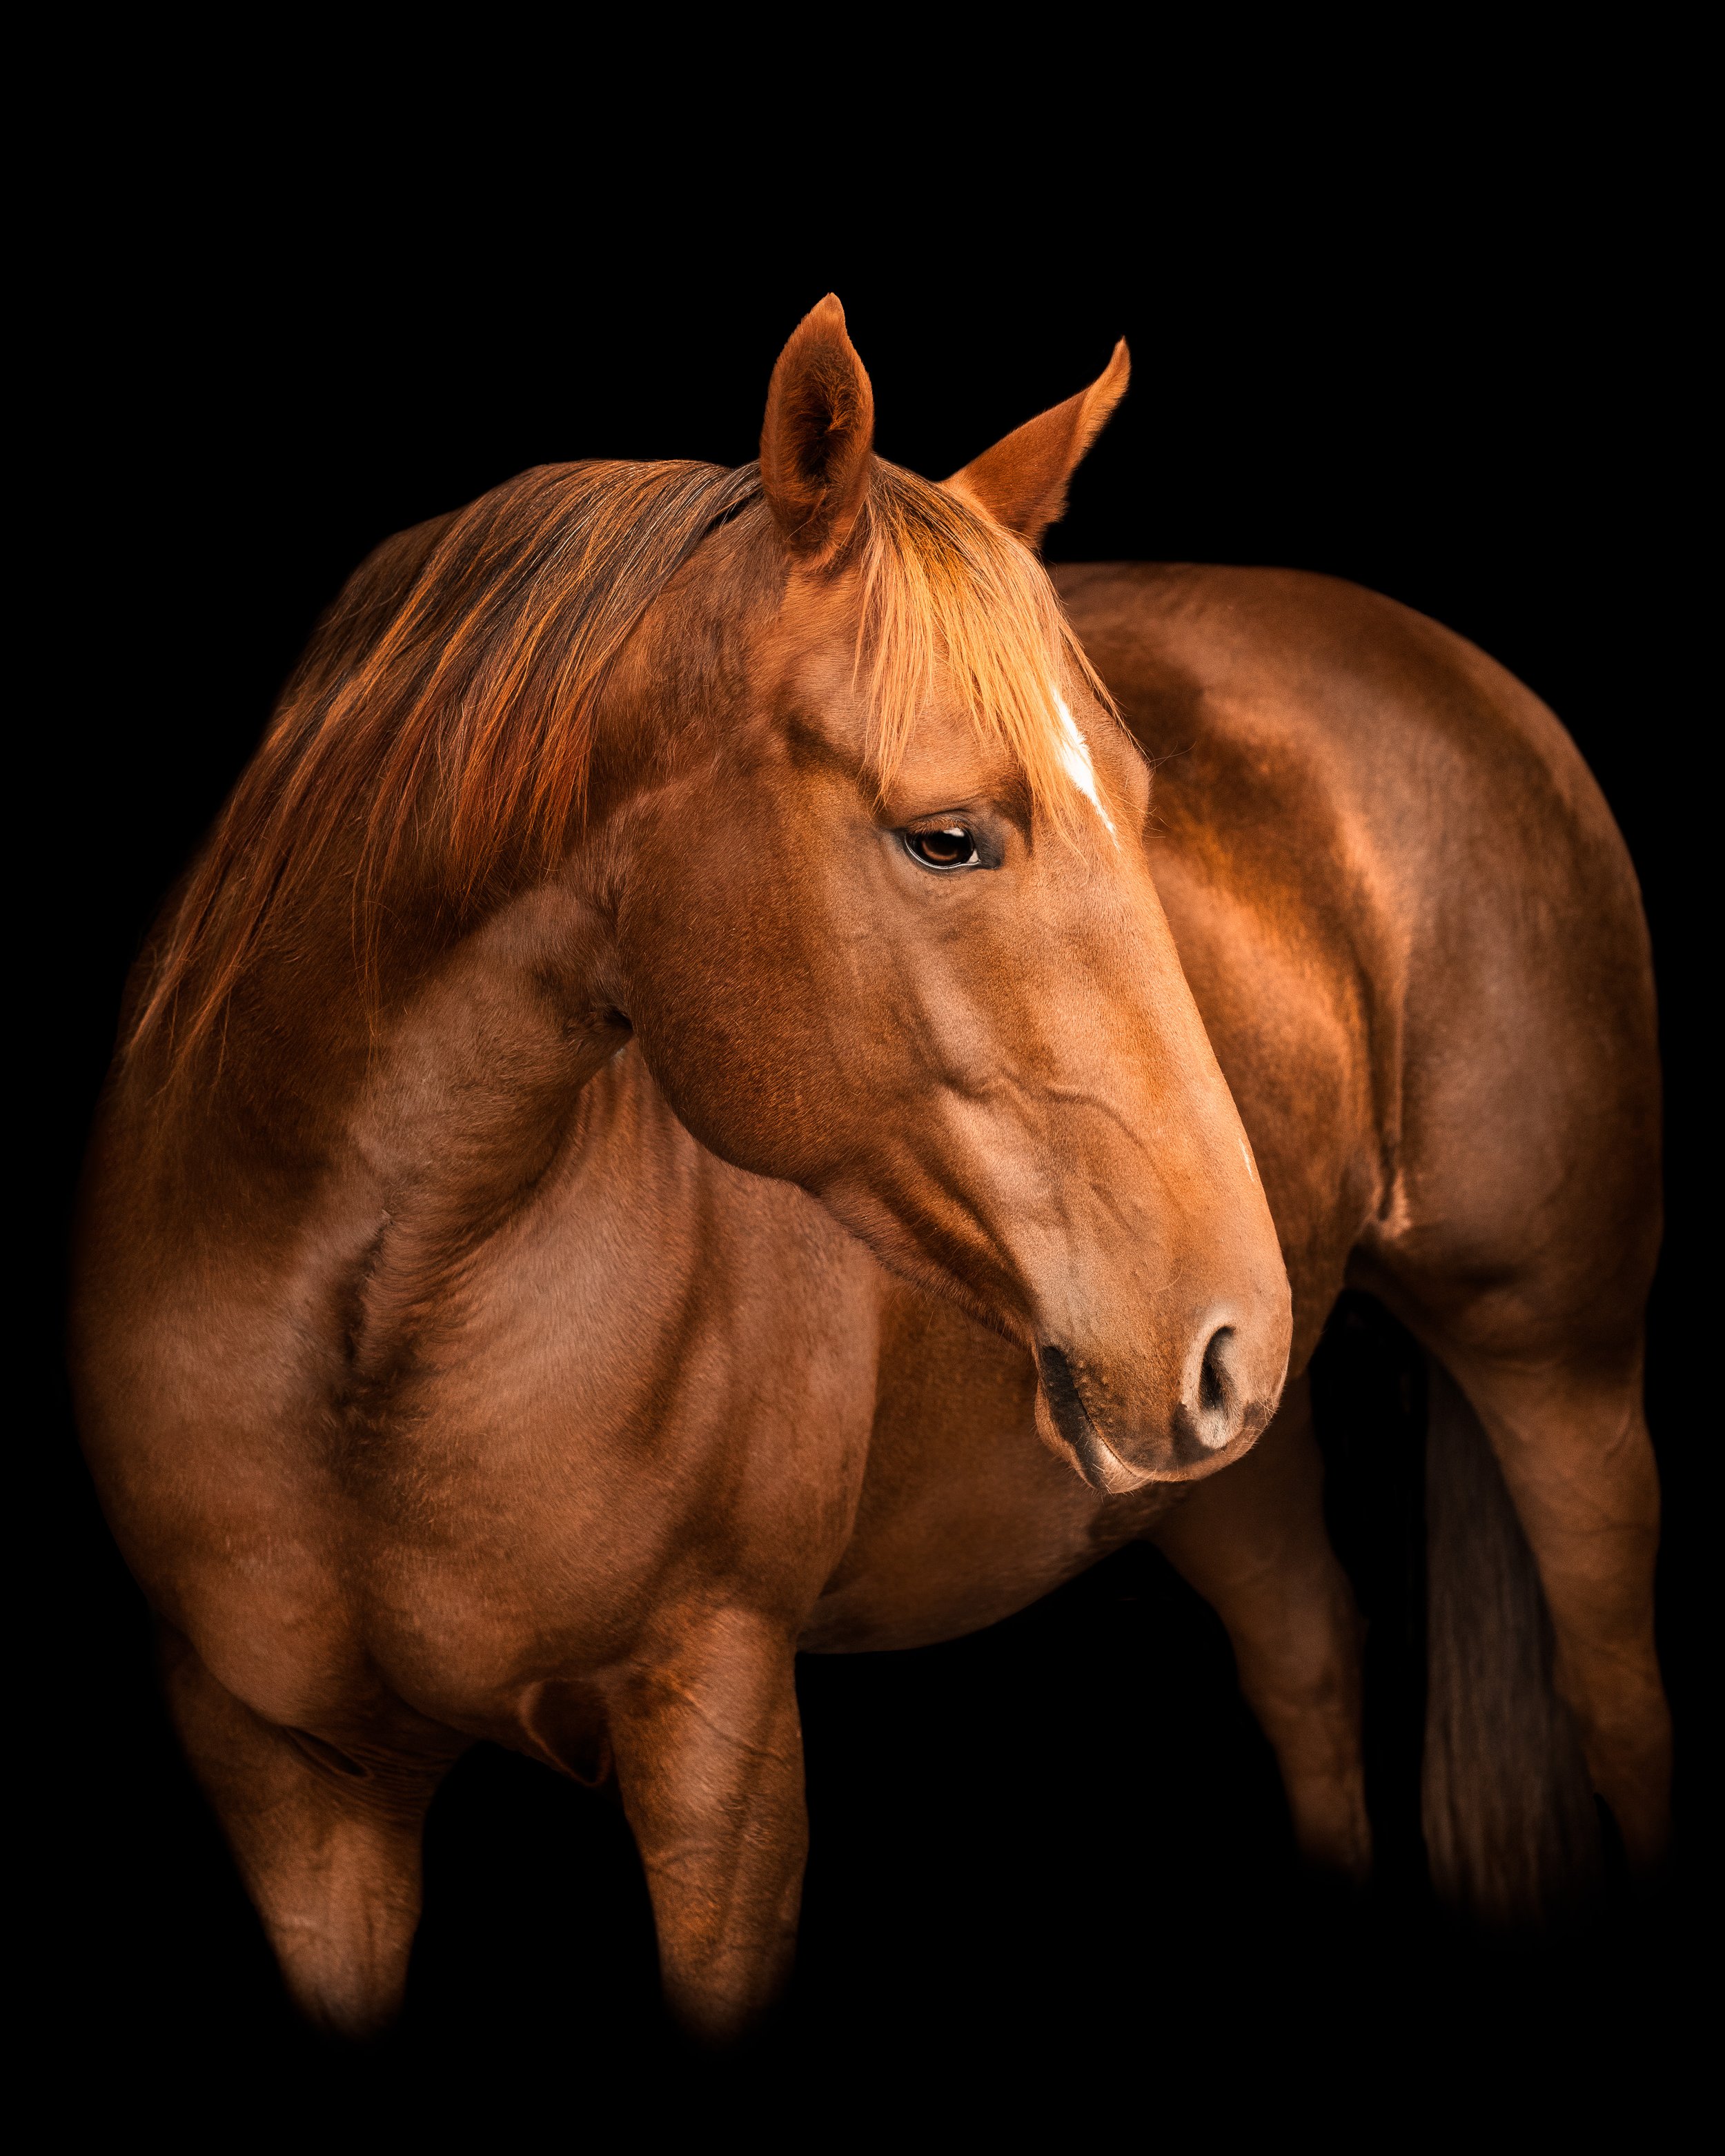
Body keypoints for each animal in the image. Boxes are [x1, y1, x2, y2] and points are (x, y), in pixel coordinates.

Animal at [71, 297, 1668, 2045]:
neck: (370, 1330)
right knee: (1307, 1660)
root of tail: (1446, 664)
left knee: (1612, 1695)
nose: (1225, 1324)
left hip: (1550, 1366)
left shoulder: (718, 1740)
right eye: (946, 836)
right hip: (1208, 1471)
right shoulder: (294, 1790)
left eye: (1144, 806)